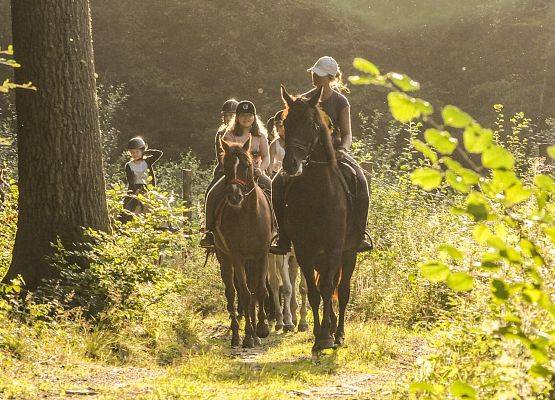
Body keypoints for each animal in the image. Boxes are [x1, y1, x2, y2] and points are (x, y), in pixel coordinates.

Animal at [214, 137, 272, 346]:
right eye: (226, 167)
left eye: (247, 166)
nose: (234, 196)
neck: (248, 216)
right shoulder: (237, 256)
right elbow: (245, 295)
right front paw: (247, 335)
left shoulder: (262, 254)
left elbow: (259, 291)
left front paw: (261, 329)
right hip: (224, 257)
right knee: (232, 292)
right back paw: (236, 335)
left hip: (251, 260)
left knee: (253, 290)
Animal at [282, 86, 360, 354]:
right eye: (285, 123)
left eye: (310, 123)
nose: (290, 164)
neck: (317, 194)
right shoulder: (304, 250)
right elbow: (315, 292)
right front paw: (319, 336)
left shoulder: (335, 248)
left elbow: (328, 289)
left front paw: (328, 336)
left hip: (349, 253)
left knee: (342, 290)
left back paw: (339, 333)